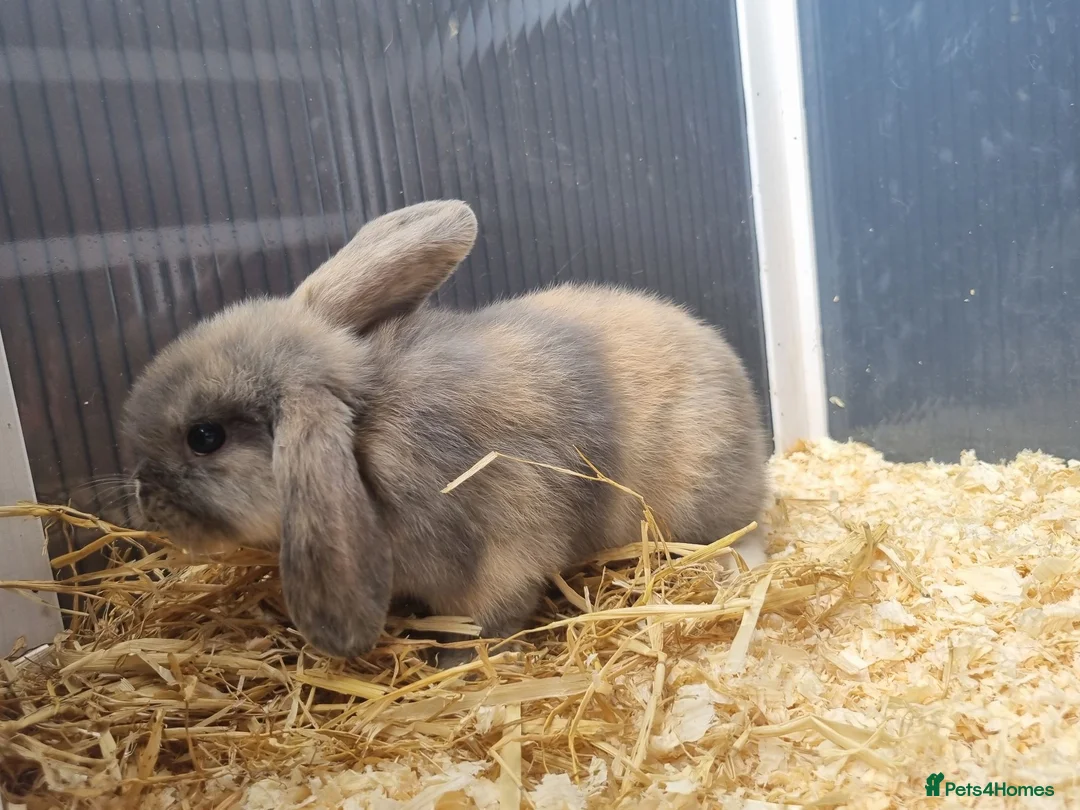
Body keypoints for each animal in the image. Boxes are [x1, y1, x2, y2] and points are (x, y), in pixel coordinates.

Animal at [121, 200, 771, 667]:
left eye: (205, 437)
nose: (141, 496)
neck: (363, 429)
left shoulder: (497, 561)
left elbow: (489, 620)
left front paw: (453, 661)